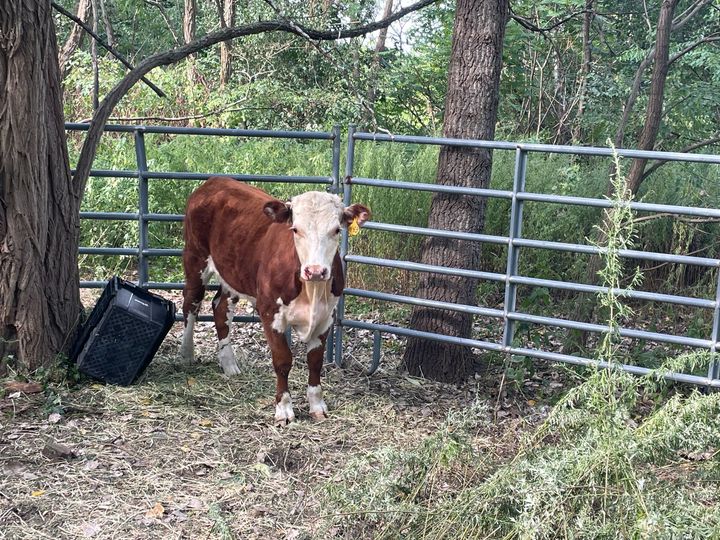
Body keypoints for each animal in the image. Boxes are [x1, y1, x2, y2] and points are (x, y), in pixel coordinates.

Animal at [179, 177, 370, 425]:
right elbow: (282, 361)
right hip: (195, 258)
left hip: (234, 274)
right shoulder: (270, 313)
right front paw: (284, 409)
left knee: (220, 309)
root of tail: (215, 181)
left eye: (337, 230)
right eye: (295, 229)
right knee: (191, 303)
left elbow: (315, 362)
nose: (315, 271)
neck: (311, 290)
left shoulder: (326, 318)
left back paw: (230, 365)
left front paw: (317, 406)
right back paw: (186, 353)